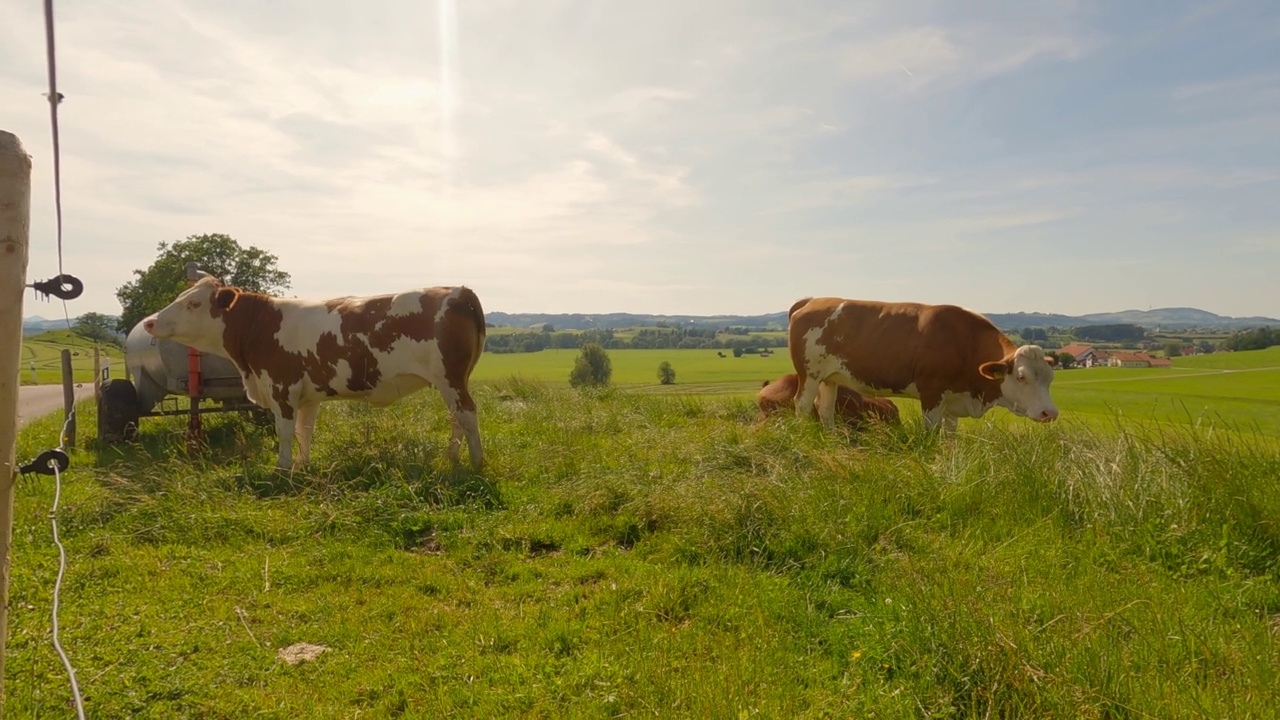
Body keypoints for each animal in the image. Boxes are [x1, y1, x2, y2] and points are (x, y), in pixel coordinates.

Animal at [142, 271, 486, 468]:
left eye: (194, 304)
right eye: (181, 296)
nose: (149, 322)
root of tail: (459, 290)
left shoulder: (281, 388)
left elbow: (284, 431)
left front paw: (281, 468)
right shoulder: (308, 396)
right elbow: (303, 430)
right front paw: (302, 465)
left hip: (451, 378)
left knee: (467, 414)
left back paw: (476, 462)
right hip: (450, 382)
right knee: (457, 417)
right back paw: (452, 458)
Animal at [788, 294, 1059, 427]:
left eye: (1050, 379)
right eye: (1021, 376)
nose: (1050, 412)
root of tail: (813, 300)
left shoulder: (953, 401)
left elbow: (950, 440)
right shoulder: (931, 394)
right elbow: (930, 436)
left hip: (829, 378)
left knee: (825, 410)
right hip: (808, 375)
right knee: (803, 406)